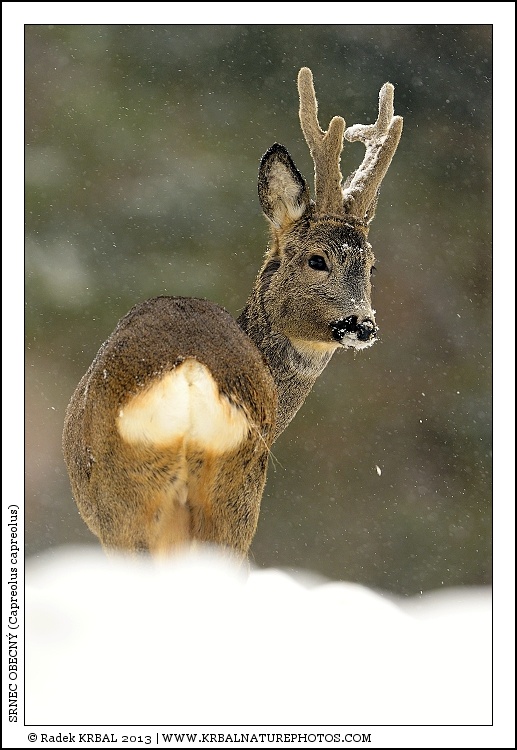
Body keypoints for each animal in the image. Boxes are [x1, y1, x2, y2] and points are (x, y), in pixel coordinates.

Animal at [63, 67, 403, 559]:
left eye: (371, 266)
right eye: (317, 259)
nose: (362, 323)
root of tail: (190, 377)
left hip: (137, 499)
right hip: (227, 493)